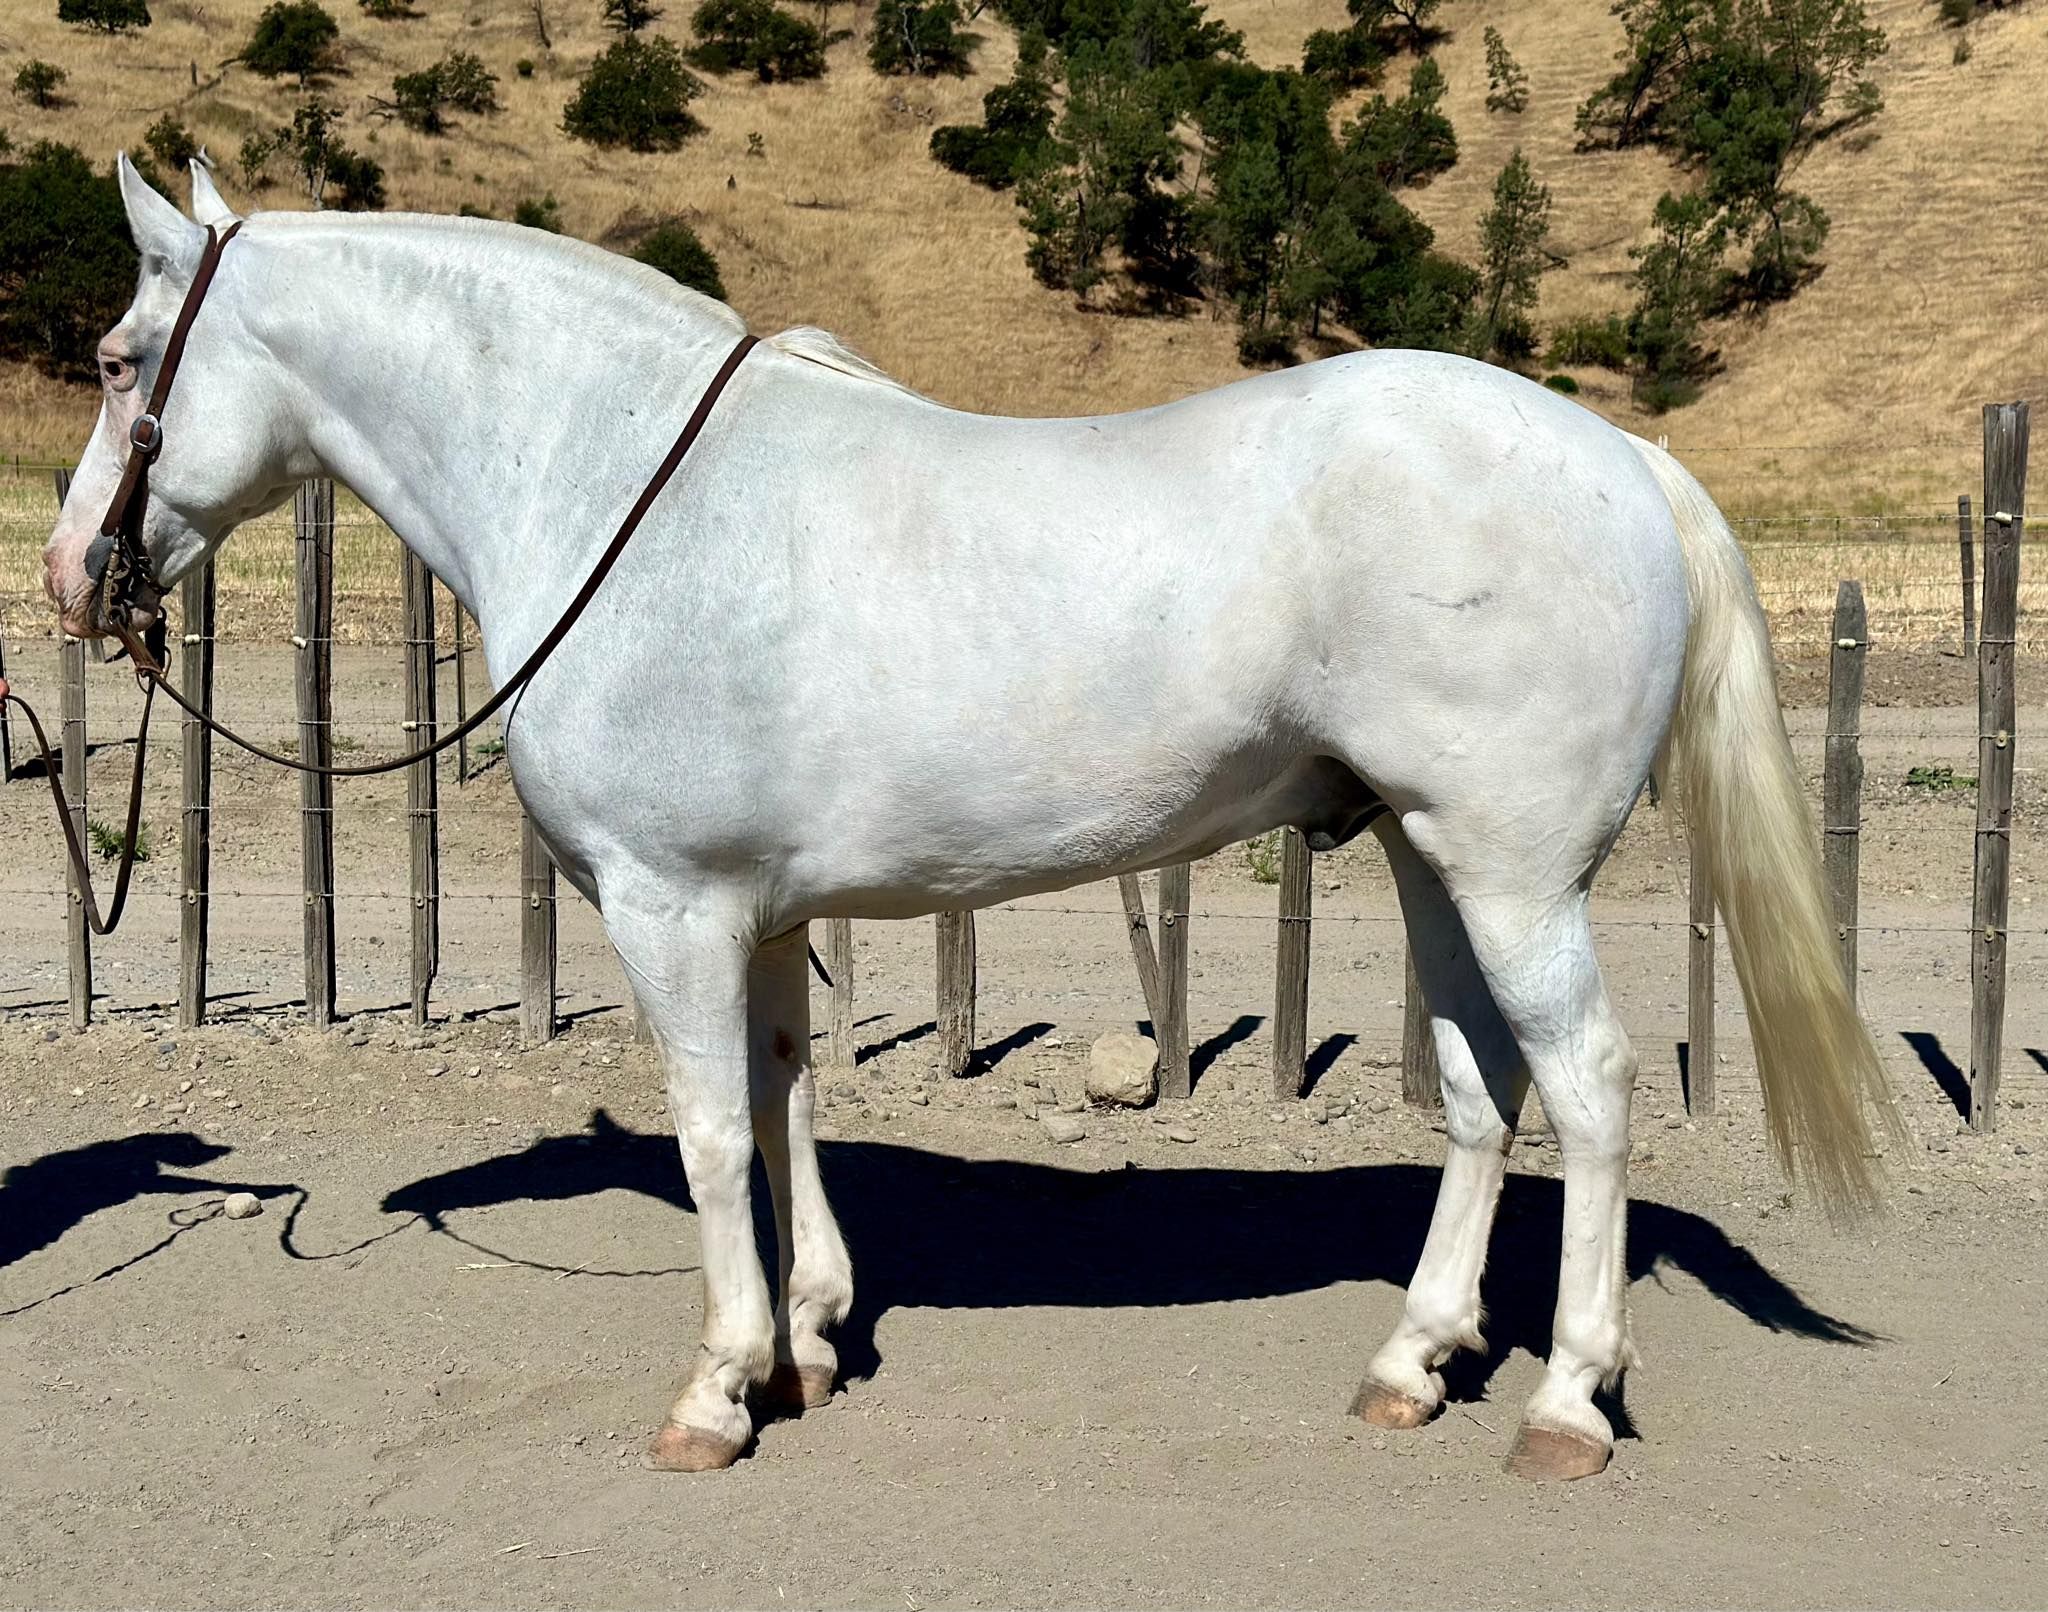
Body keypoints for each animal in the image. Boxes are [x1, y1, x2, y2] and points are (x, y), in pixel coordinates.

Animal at [43, 158, 1897, 1481]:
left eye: (121, 360)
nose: (71, 576)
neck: (622, 486)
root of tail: (1623, 457)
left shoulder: (667, 903)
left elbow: (708, 1130)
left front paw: (718, 1388)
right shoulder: (761, 911)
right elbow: (785, 1101)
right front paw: (805, 1339)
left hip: (1515, 873)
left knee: (1586, 1091)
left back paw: (1566, 1402)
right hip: (1434, 858)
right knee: (1476, 1091)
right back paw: (1411, 1362)